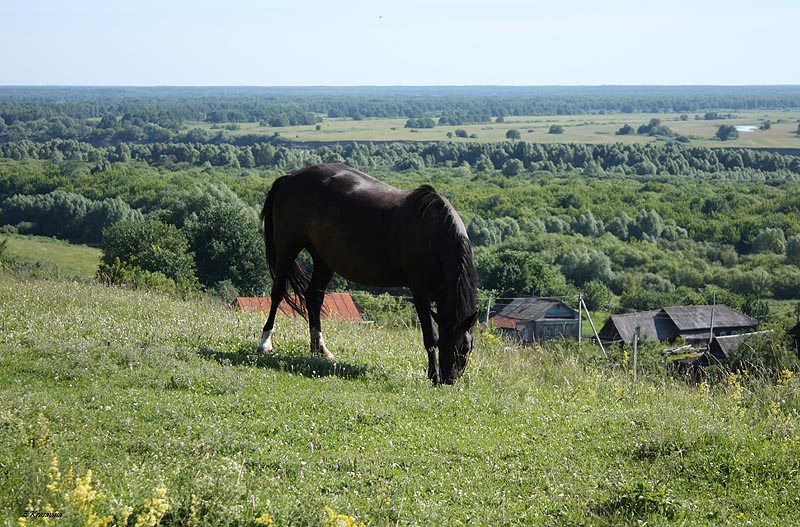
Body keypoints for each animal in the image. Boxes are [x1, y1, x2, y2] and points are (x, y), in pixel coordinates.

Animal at [260, 163, 478, 386]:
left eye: (466, 348)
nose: (450, 380)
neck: (433, 232)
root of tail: (289, 179)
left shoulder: (444, 294)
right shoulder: (420, 290)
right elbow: (429, 335)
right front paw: (434, 375)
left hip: (323, 260)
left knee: (314, 298)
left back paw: (320, 349)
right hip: (287, 247)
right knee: (278, 292)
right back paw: (265, 342)